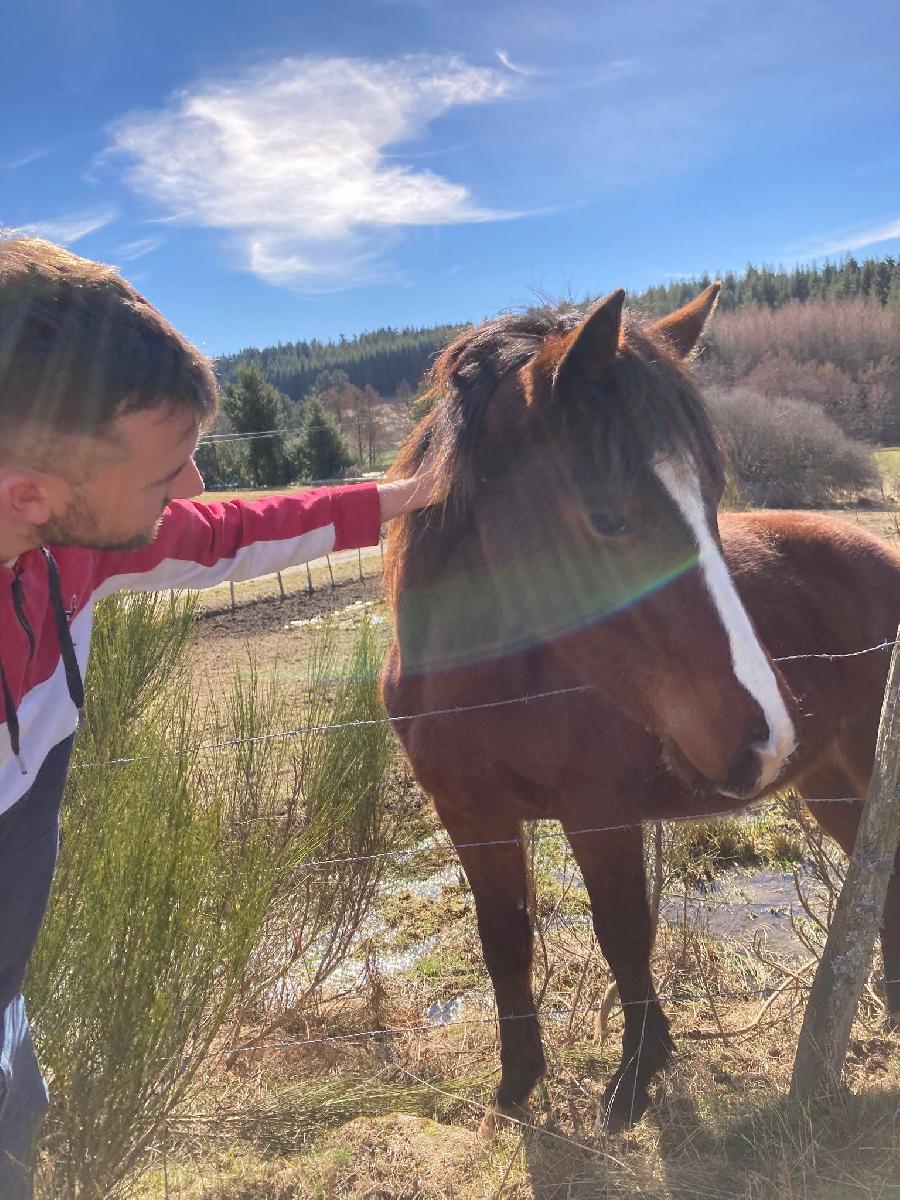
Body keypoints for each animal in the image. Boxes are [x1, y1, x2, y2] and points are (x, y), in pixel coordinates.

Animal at [381, 288, 900, 1132]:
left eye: (714, 499)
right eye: (609, 518)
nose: (766, 734)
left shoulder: (600, 814)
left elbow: (623, 932)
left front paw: (633, 1079)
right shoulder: (471, 817)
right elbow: (505, 940)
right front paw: (517, 1086)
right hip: (828, 781)